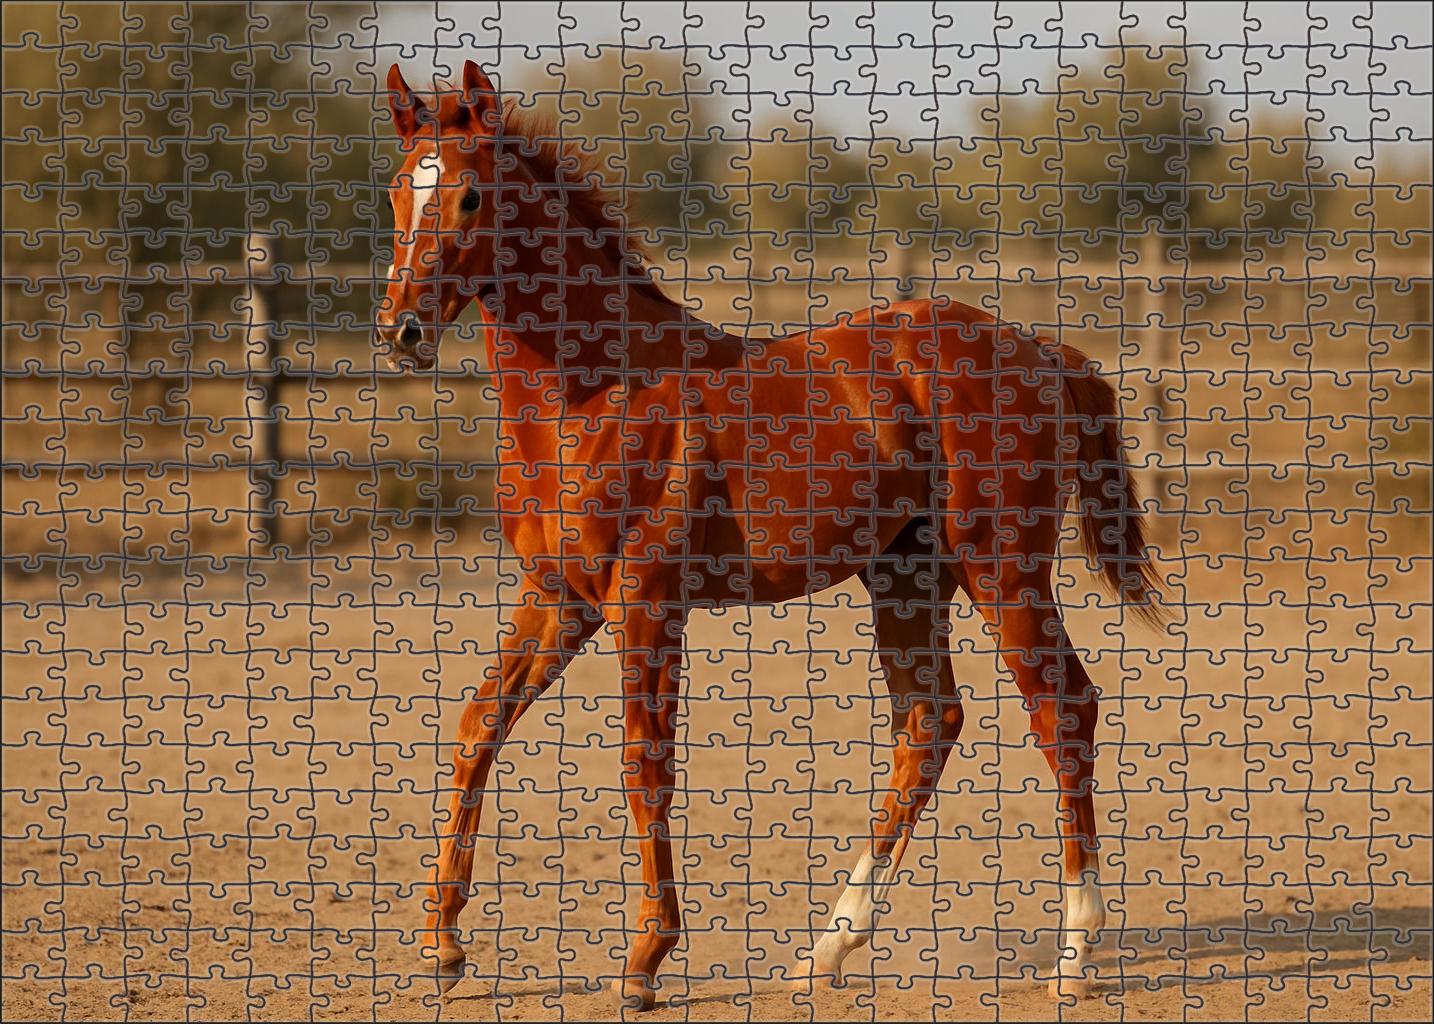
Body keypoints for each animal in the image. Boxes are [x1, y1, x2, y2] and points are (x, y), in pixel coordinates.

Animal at [373, 61, 1165, 1010]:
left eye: (469, 197)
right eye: (397, 190)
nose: (402, 331)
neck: (594, 393)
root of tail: (1046, 353)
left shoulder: (646, 606)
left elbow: (645, 764)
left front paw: (645, 962)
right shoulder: (559, 600)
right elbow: (477, 726)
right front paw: (443, 944)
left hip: (1002, 571)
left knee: (1063, 709)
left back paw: (1075, 954)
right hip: (906, 579)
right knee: (929, 721)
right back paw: (828, 948)